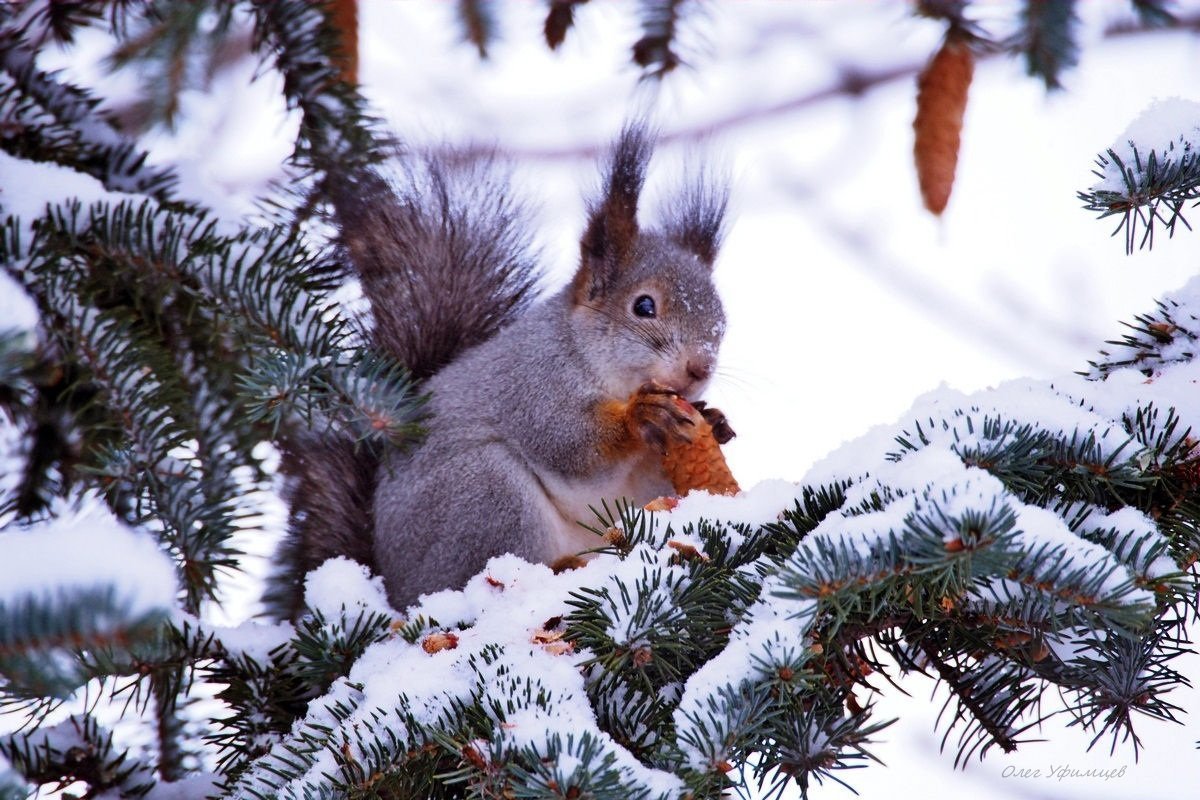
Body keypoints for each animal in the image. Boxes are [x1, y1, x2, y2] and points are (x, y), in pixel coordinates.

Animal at [265, 125, 729, 618]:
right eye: (643, 306)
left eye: (721, 317)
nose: (699, 368)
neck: (594, 363)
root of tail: (394, 587)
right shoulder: (534, 386)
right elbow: (571, 446)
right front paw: (642, 416)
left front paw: (713, 420)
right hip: (485, 494)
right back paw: (556, 571)